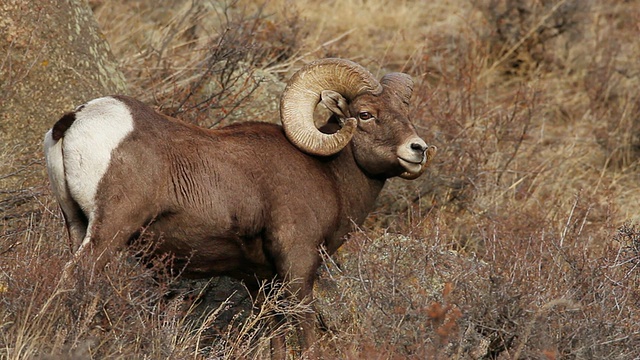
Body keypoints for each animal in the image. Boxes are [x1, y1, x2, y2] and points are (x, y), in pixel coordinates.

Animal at [43, 59, 436, 358]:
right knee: (77, 278)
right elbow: (303, 323)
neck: (327, 174)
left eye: (405, 112)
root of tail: (74, 120)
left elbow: (274, 331)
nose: (417, 149)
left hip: (76, 224)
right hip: (110, 229)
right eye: (365, 114)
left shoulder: (262, 278)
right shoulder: (297, 260)